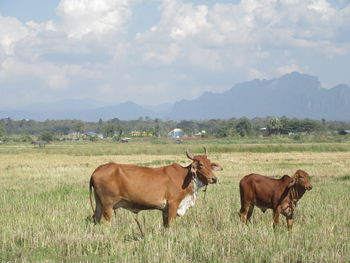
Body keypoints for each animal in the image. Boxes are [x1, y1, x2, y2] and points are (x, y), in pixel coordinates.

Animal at [89, 147, 221, 228]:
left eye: (210, 164)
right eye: (201, 165)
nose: (214, 179)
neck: (186, 177)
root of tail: (97, 170)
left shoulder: (165, 210)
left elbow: (166, 226)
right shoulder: (173, 204)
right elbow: (171, 225)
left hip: (99, 204)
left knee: (96, 219)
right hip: (108, 205)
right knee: (106, 222)